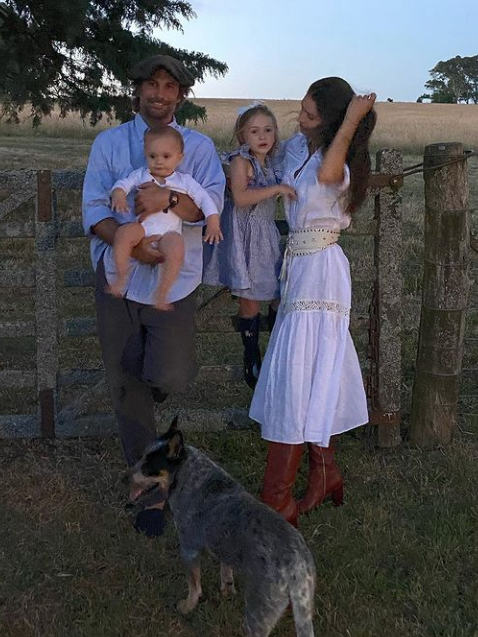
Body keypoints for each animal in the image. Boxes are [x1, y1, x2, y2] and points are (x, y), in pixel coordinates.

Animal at [129, 417, 316, 637]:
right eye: (141, 457)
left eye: (147, 466)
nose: (124, 478)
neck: (189, 474)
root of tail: (298, 565)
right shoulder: (223, 548)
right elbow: (225, 571)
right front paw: (227, 590)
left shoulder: (189, 547)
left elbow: (194, 585)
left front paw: (186, 607)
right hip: (304, 605)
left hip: (258, 614)